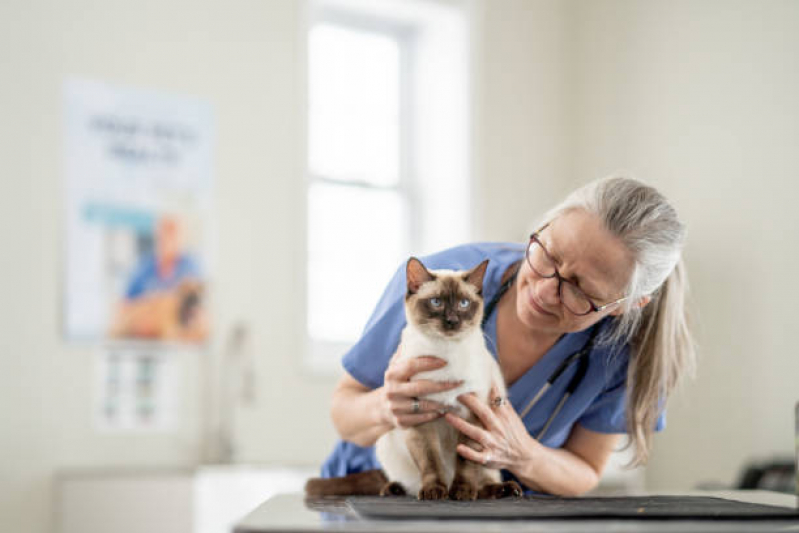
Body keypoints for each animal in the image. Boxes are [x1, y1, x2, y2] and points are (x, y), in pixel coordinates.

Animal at [306, 256, 524, 498]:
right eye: (436, 302)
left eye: (463, 304)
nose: (452, 320)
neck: (445, 353)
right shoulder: (421, 420)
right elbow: (431, 462)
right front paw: (434, 491)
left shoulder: (472, 417)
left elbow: (466, 463)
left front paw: (462, 493)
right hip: (387, 444)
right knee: (406, 481)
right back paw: (395, 489)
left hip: (488, 455)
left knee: (484, 480)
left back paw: (502, 490)